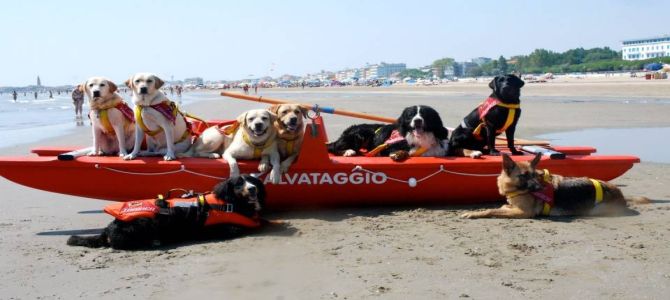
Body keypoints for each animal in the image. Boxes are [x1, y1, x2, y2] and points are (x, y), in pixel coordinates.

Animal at [67, 175, 268, 250]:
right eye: (238, 184)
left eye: (253, 182)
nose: (252, 189)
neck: (230, 202)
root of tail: (109, 227)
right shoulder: (224, 227)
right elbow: (240, 227)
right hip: (144, 222)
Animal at [462, 154, 652, 219]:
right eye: (524, 176)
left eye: (534, 175)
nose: (539, 188)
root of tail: (620, 193)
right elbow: (501, 206)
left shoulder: (524, 213)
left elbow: (491, 210)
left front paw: (474, 213)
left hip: (596, 209)